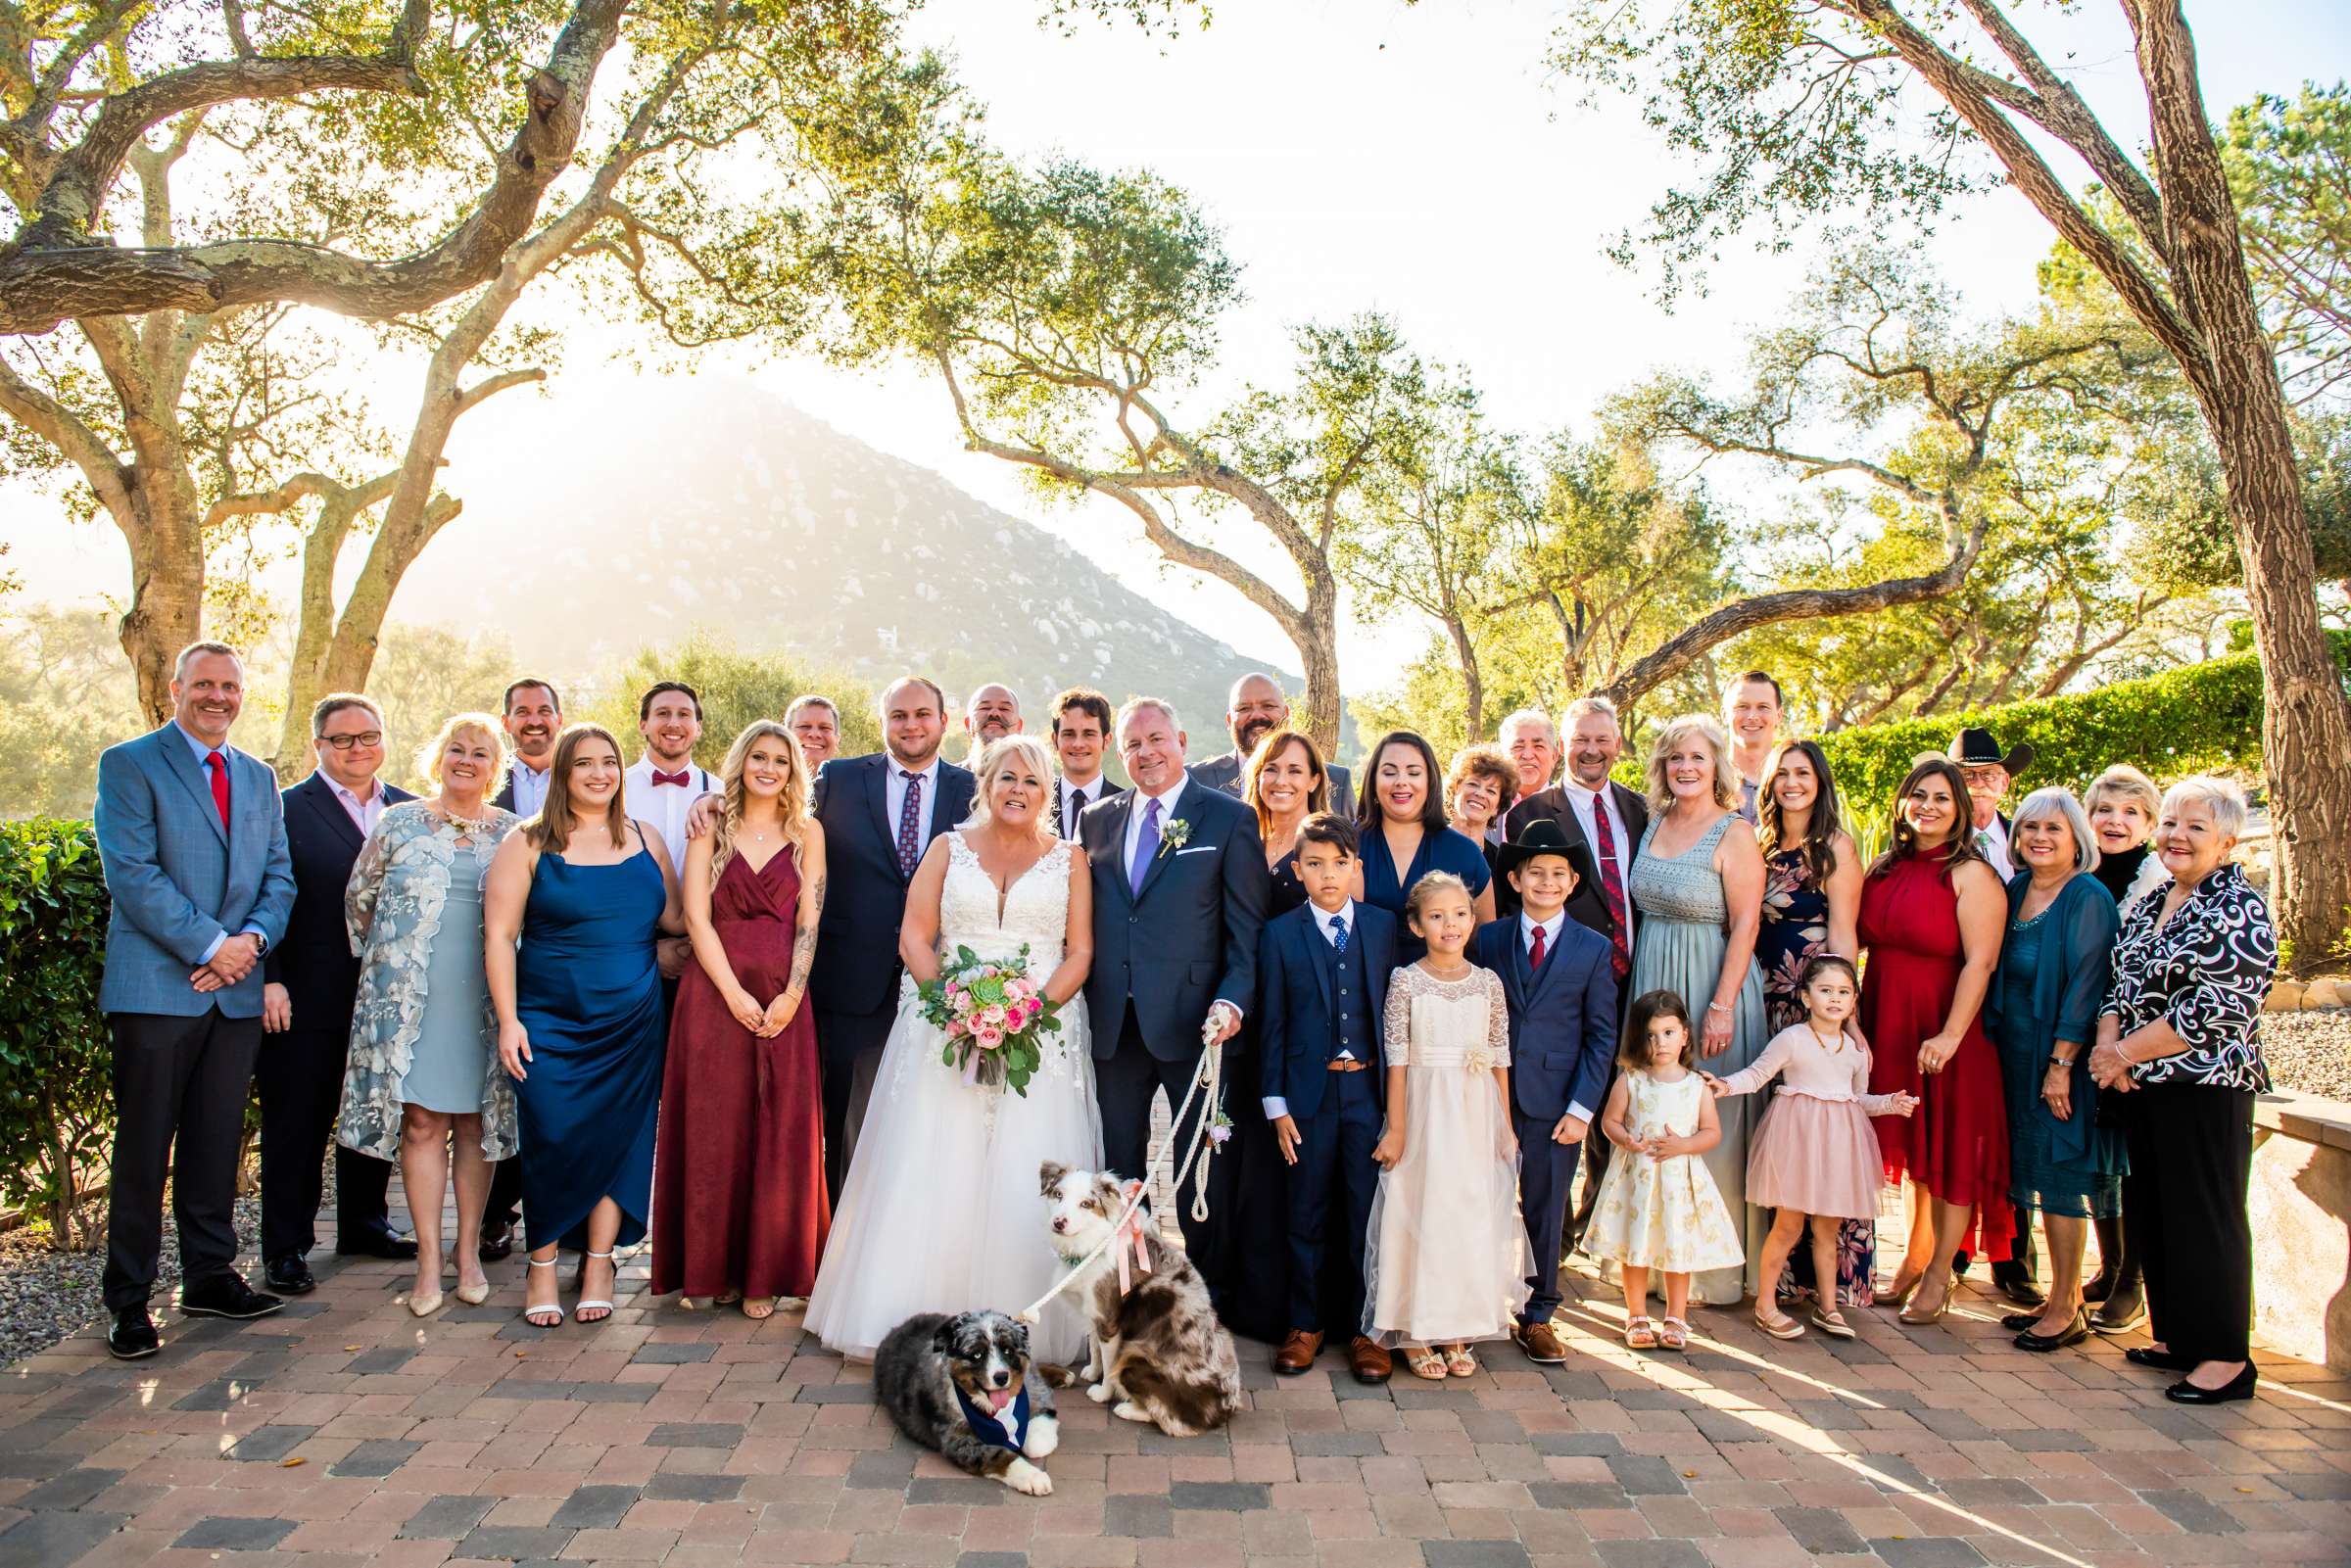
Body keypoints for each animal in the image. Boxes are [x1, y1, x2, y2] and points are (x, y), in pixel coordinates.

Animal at [870, 1316, 1062, 1495]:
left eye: (1007, 1350)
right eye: (977, 1355)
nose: (1001, 1377)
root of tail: (897, 1329)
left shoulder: (1035, 1393)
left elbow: (1037, 1443)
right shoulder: (958, 1442)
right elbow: (999, 1455)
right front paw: (1034, 1478)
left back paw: (1062, 1374)